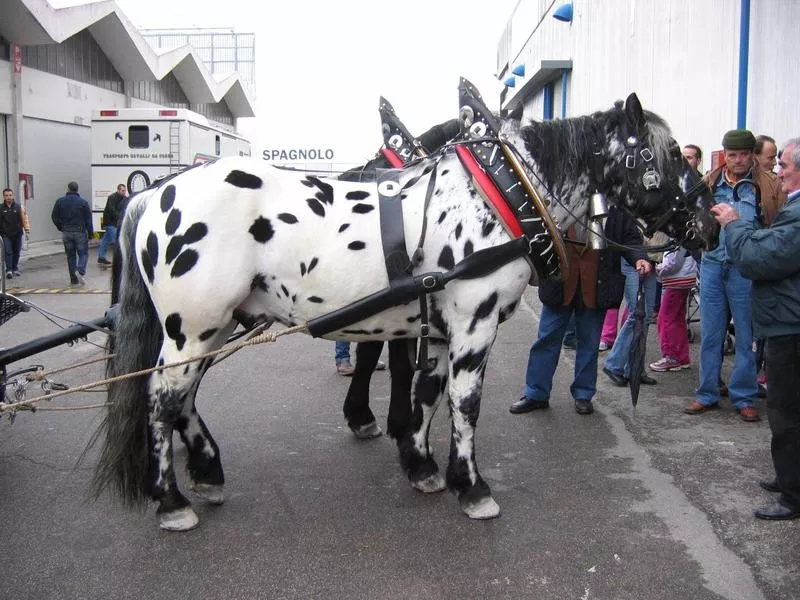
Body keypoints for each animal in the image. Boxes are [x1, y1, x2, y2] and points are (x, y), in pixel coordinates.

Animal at [90, 78, 716, 528]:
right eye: (665, 159)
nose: (710, 226)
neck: (499, 195)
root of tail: (152, 193)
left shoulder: (438, 328)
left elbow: (427, 393)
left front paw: (422, 467)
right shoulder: (474, 324)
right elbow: (465, 403)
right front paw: (473, 488)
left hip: (207, 329)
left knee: (182, 398)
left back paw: (208, 472)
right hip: (194, 328)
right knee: (162, 399)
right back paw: (172, 501)